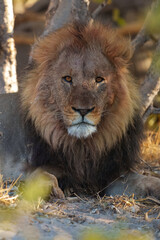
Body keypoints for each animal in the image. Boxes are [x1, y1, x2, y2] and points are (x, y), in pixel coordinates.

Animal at [20, 22, 160, 199]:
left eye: (99, 79)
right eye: (67, 79)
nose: (83, 110)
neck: (84, 147)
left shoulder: (115, 174)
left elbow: (148, 180)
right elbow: (39, 175)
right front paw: (52, 189)